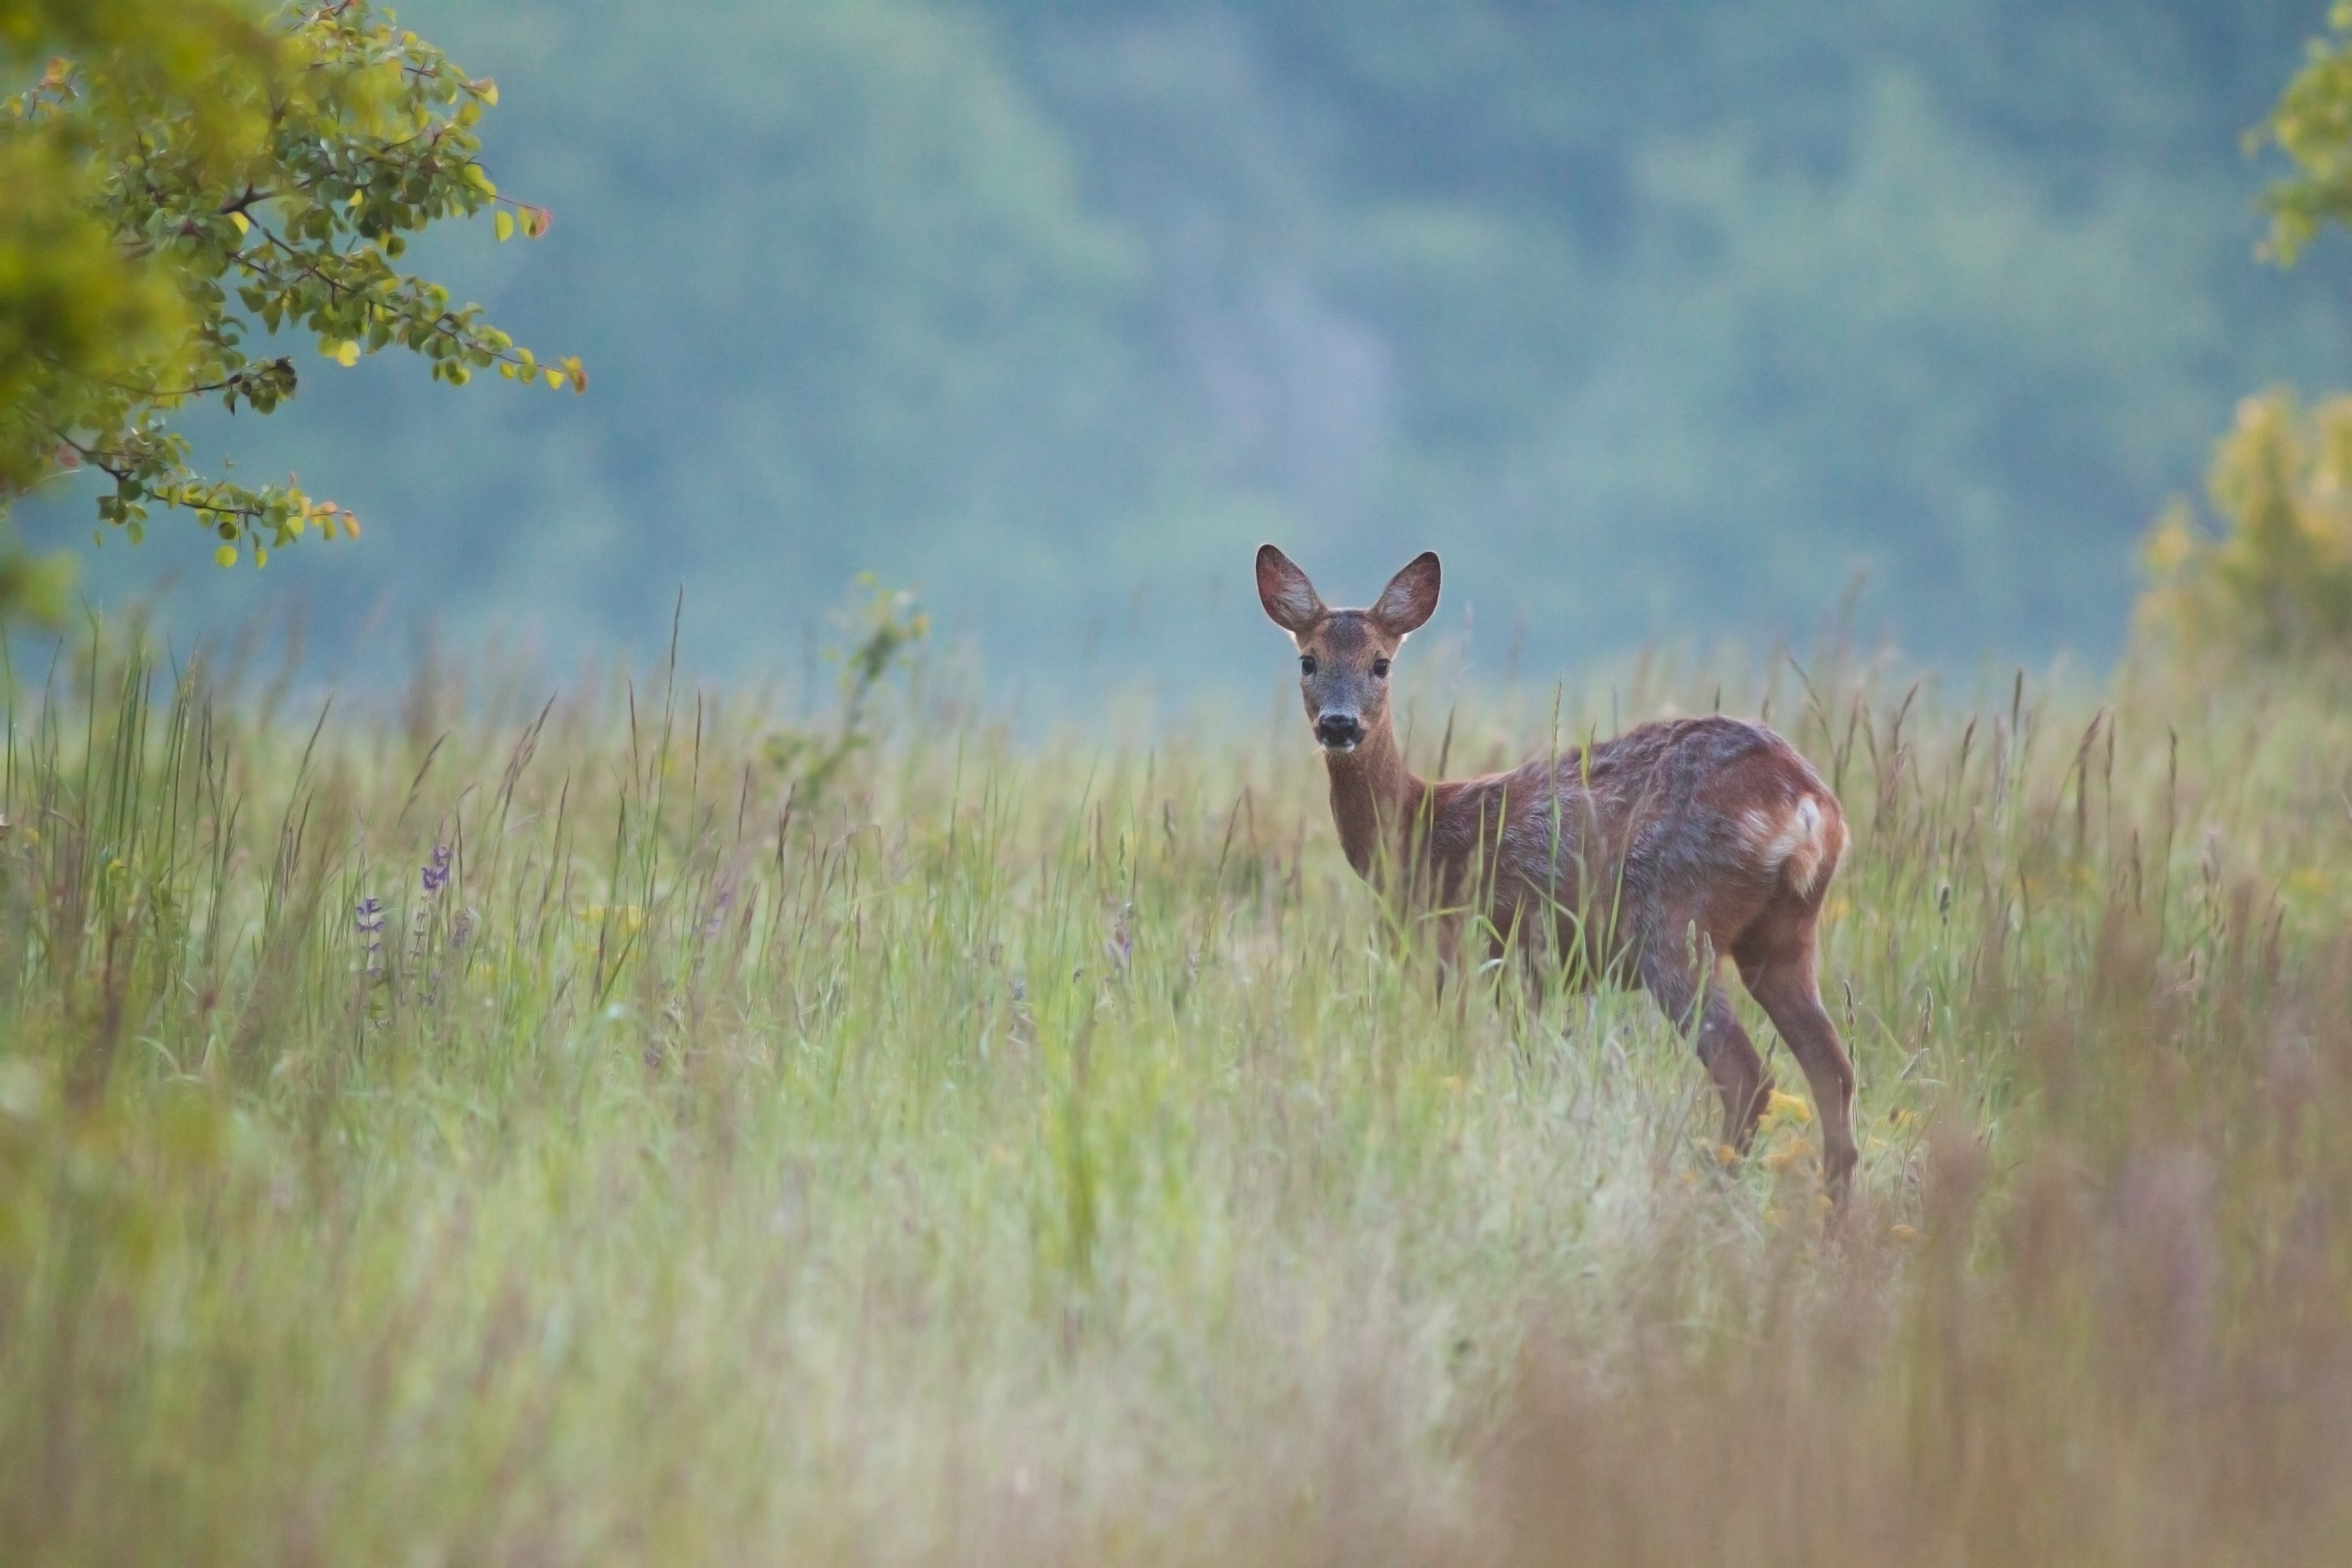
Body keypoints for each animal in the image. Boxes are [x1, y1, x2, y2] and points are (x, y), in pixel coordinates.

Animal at [1256, 544, 1859, 1199]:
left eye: (1381, 664)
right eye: (1308, 660)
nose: (1339, 725)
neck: (1421, 830)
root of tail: (1807, 805)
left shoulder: (1473, 952)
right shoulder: (1529, 969)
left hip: (1674, 919)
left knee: (1748, 1074)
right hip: (1785, 932)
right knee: (1834, 1069)